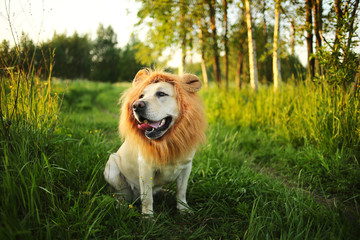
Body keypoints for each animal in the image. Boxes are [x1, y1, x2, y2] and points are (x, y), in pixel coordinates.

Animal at [102, 68, 207, 215]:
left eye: (161, 93)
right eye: (141, 96)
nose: (136, 105)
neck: (167, 141)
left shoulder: (186, 166)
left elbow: (181, 191)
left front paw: (183, 209)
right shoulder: (146, 167)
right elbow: (147, 198)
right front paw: (148, 217)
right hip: (112, 166)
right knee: (121, 194)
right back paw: (122, 206)